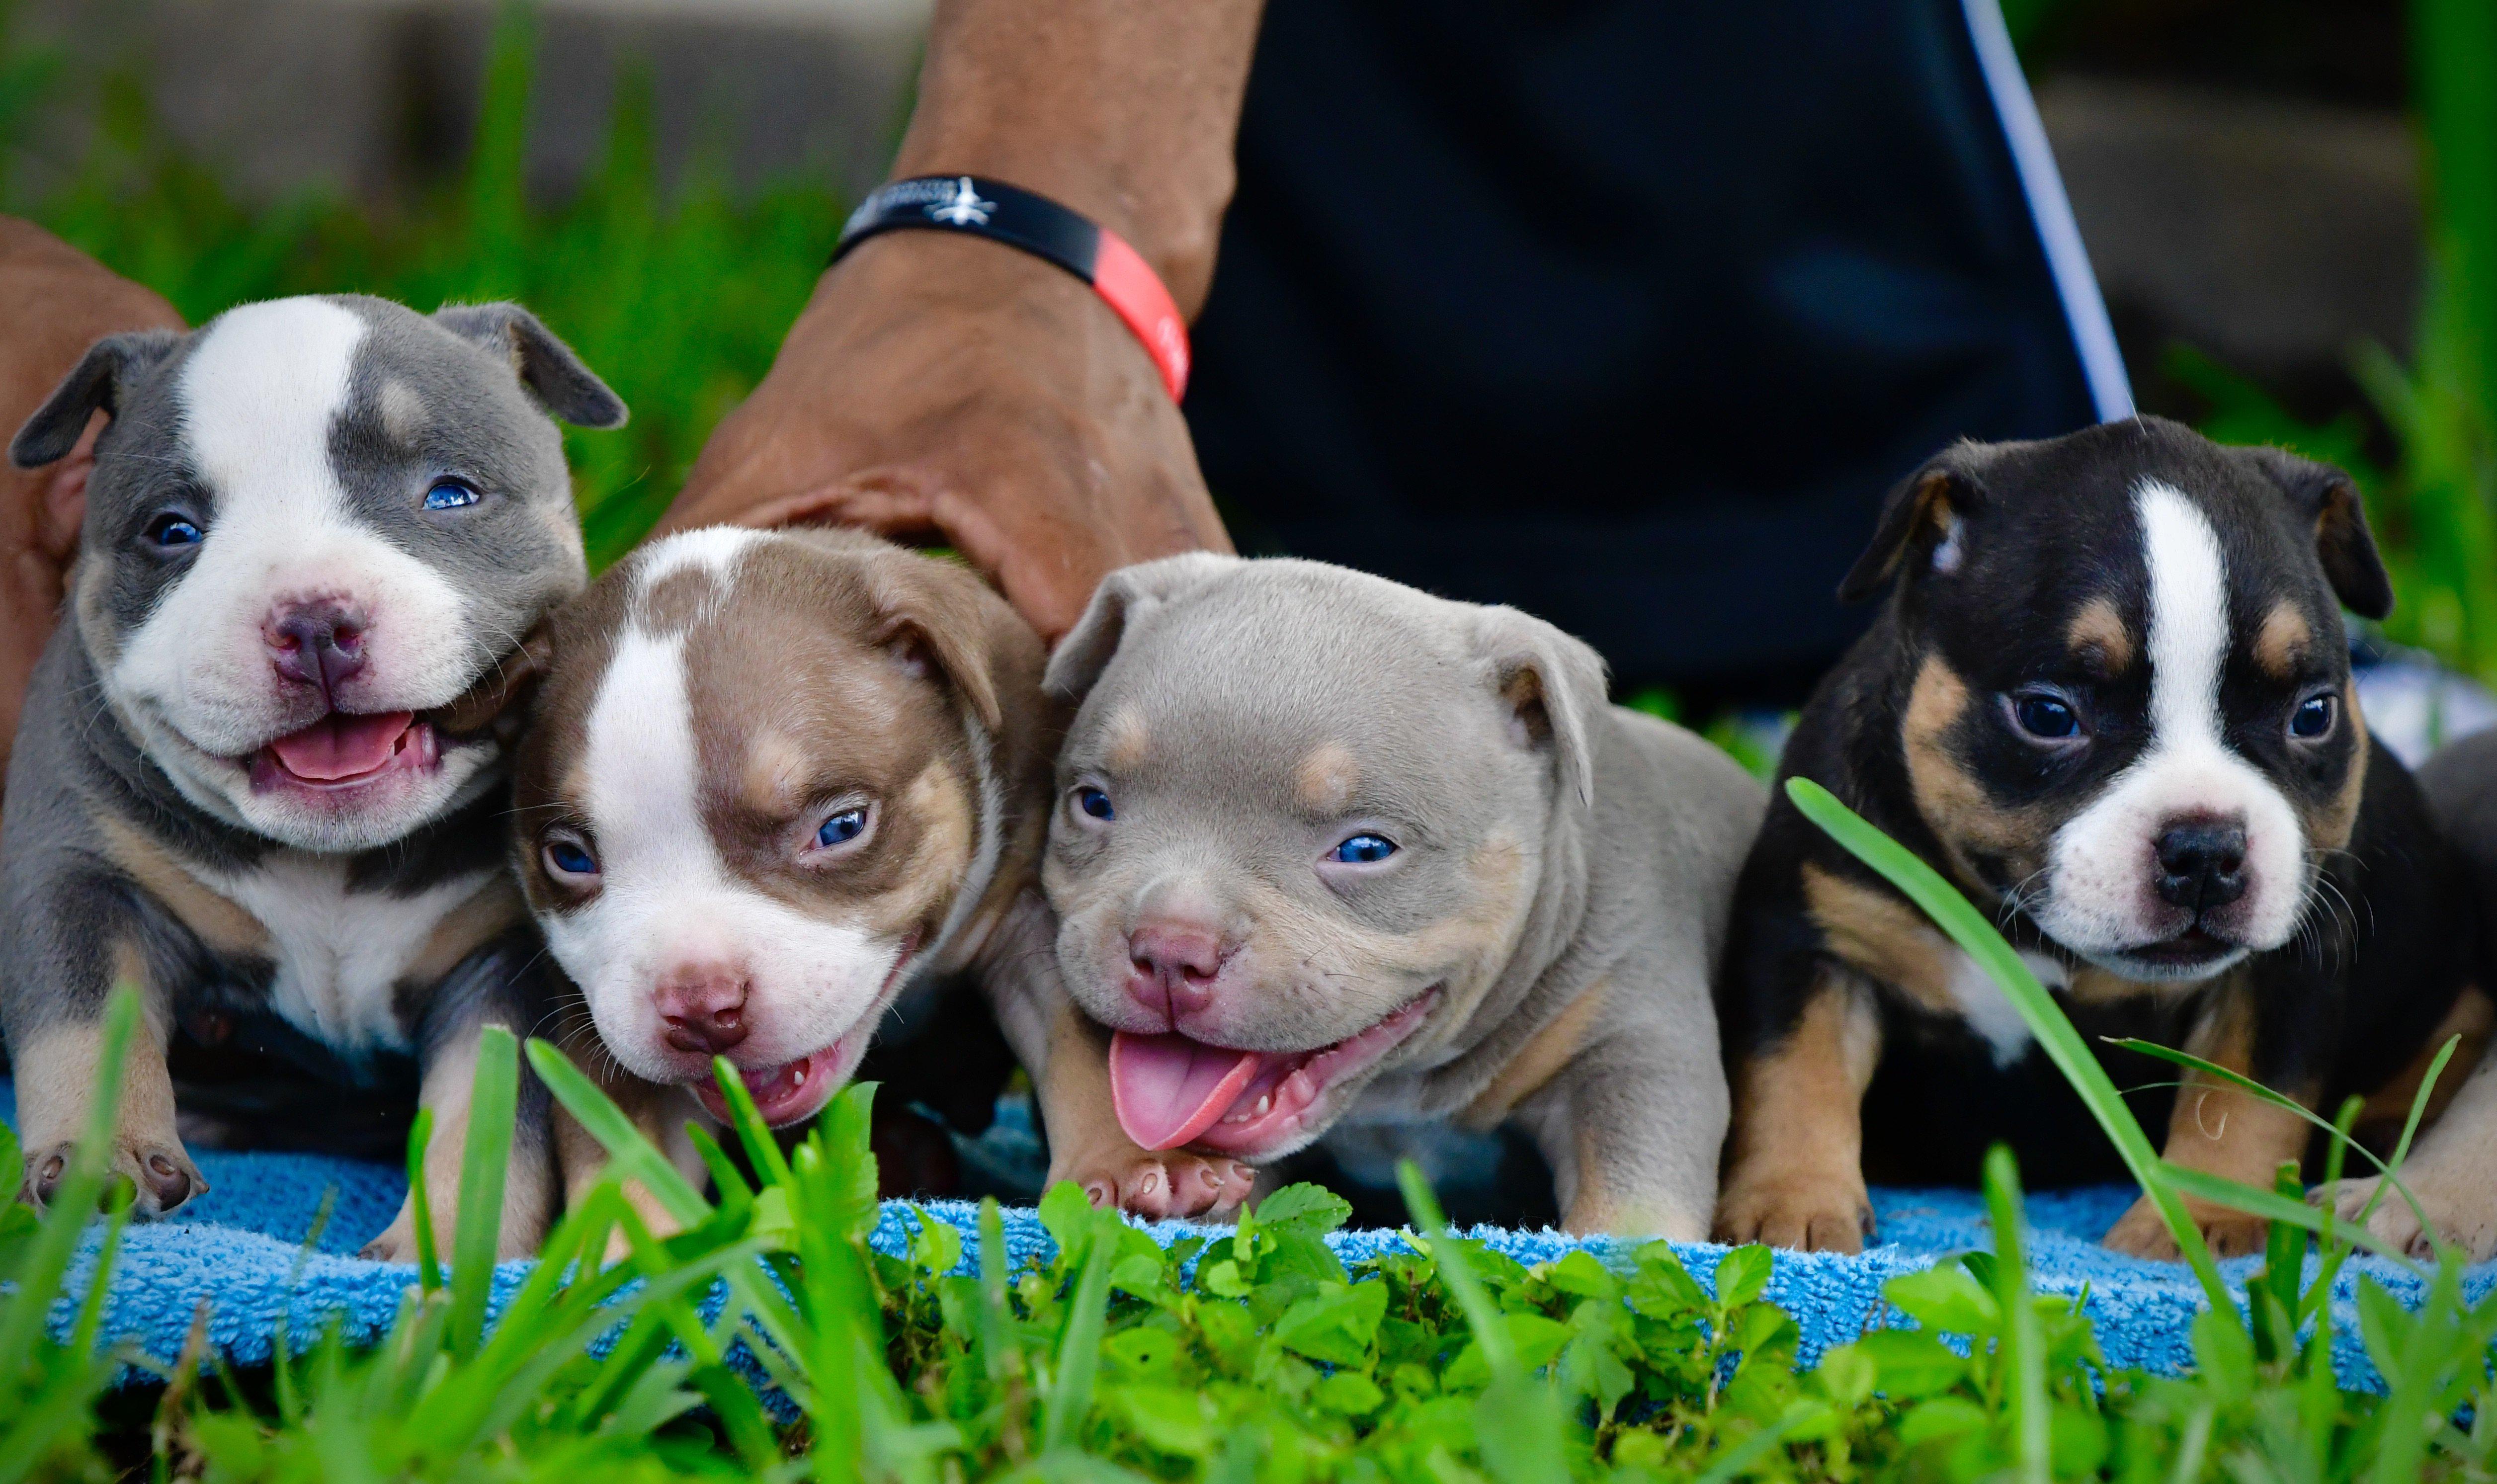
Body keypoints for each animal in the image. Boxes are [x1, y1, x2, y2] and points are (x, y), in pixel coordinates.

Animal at [0, 295, 624, 1254]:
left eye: (451, 493)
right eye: (172, 531)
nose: (315, 622)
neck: (334, 860)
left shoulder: (503, 958)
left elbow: (491, 1116)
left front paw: (446, 1248)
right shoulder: (82, 871)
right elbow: (83, 1017)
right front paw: (102, 1161)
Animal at [1023, 549, 1767, 1229]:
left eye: (1366, 849)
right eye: (1094, 804)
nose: (1171, 949)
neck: (1396, 1088)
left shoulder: (1634, 1044)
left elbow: (1630, 1214)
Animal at [1718, 410, 2477, 1254]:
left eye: (2313, 714)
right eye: (2049, 714)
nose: (2206, 849)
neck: (2025, 929)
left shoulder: (2280, 970)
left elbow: (2240, 1095)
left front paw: (2200, 1218)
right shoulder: (1814, 936)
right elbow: (1794, 1070)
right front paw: (1791, 1204)